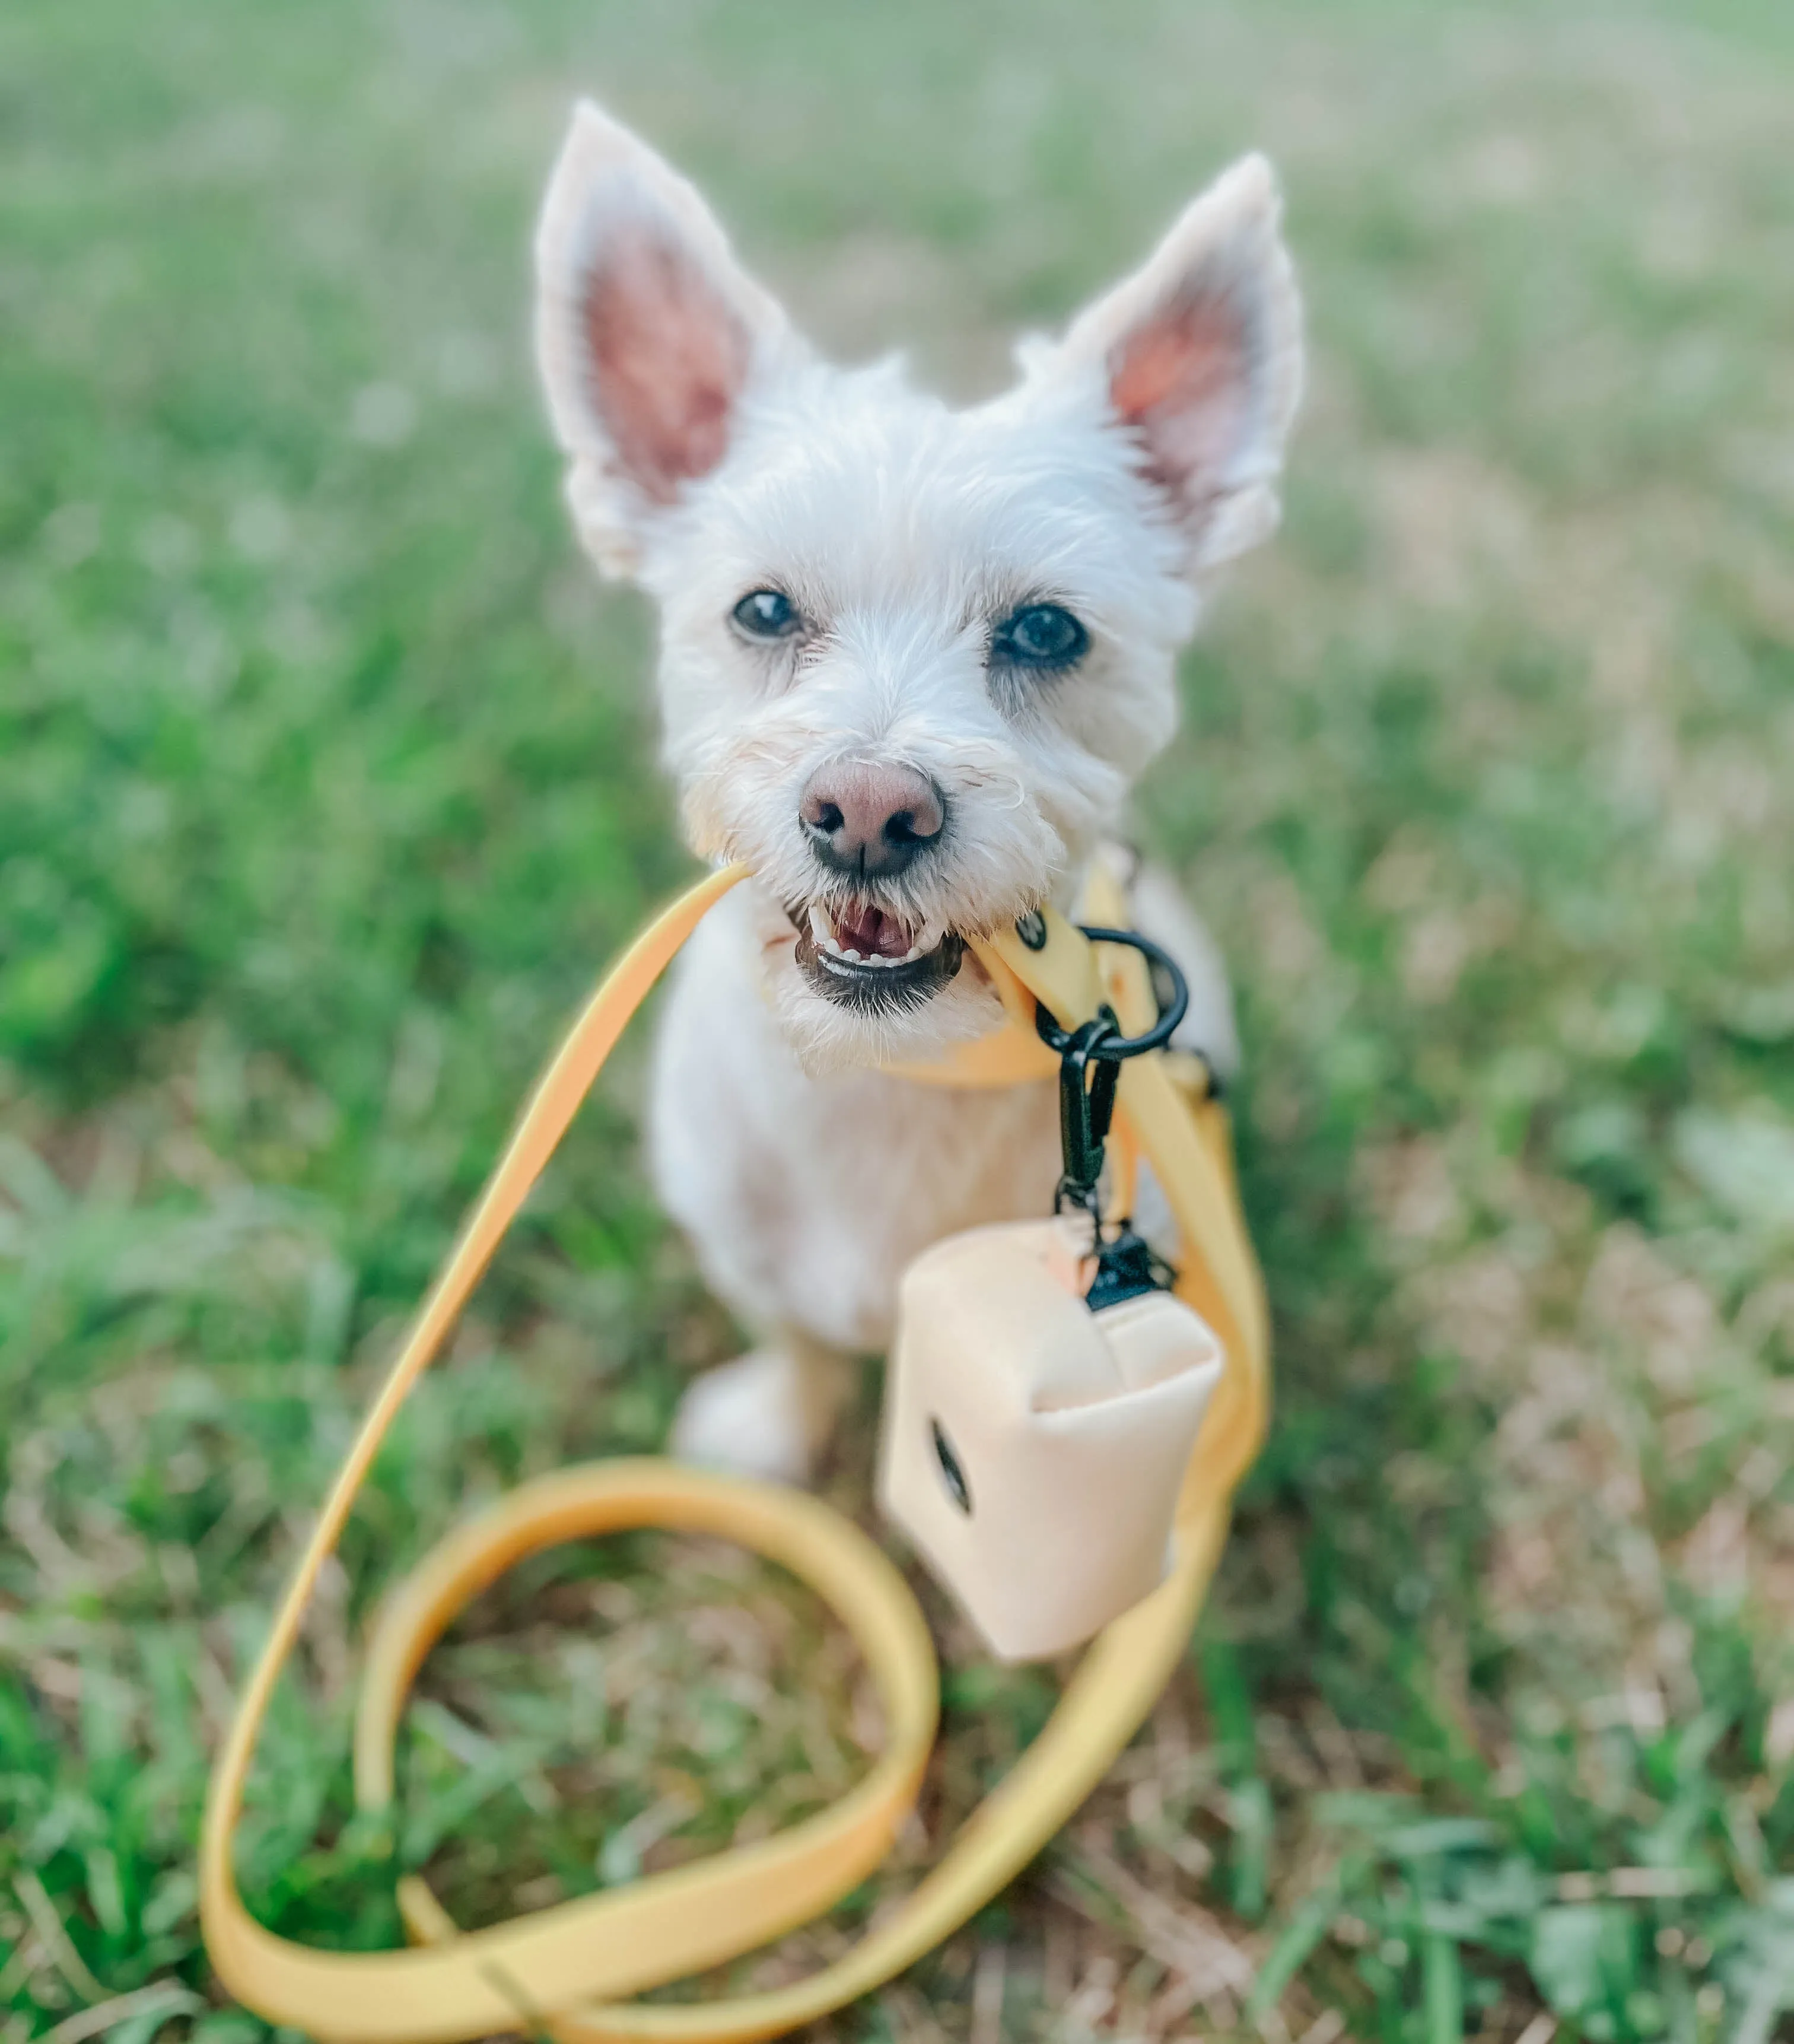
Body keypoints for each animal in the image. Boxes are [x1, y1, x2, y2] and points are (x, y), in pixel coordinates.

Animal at [535, 103, 1308, 1487]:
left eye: (1048, 630)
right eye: (763, 610)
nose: (869, 811)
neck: (886, 1074)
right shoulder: (740, 1236)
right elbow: (791, 1332)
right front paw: (775, 1426)